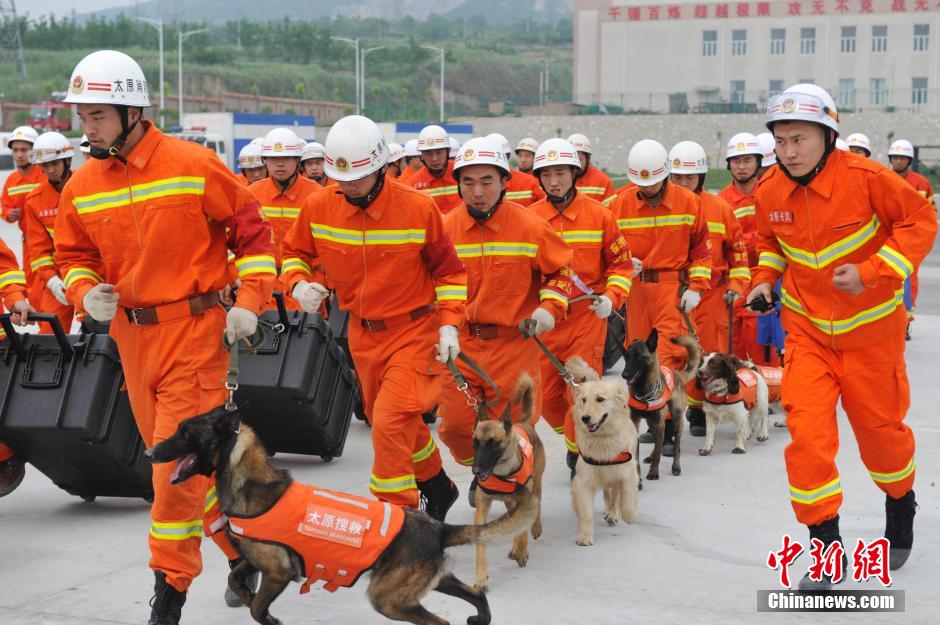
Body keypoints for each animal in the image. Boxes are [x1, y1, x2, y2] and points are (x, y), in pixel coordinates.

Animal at [143, 404, 532, 624]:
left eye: (185, 432)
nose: (148, 453)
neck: (251, 481)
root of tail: (438, 528)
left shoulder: (278, 573)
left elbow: (254, 608)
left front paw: (268, 617)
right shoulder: (257, 562)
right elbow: (235, 580)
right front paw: (253, 601)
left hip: (388, 597)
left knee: (439, 622)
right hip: (432, 582)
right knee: (477, 596)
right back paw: (479, 617)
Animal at [474, 370, 548, 588]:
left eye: (493, 443)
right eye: (475, 443)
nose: (476, 470)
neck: (501, 473)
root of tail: (523, 423)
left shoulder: (525, 499)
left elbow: (523, 529)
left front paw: (522, 550)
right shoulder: (482, 509)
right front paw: (480, 578)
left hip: (536, 486)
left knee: (535, 509)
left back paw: (533, 530)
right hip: (510, 502)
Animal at [564, 356, 640, 544]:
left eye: (600, 399)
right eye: (584, 400)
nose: (585, 418)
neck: (602, 439)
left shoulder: (627, 472)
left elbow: (627, 499)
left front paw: (629, 516)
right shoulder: (583, 478)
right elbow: (585, 512)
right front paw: (585, 536)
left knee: (615, 495)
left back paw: (613, 514)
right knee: (609, 494)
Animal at [620, 330, 700, 486]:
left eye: (638, 356)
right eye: (627, 356)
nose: (624, 375)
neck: (643, 391)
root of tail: (677, 373)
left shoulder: (659, 423)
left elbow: (658, 452)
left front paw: (653, 472)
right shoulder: (637, 424)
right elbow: (637, 456)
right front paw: (638, 480)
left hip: (675, 420)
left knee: (676, 446)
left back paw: (676, 466)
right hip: (652, 422)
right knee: (660, 439)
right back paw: (651, 457)